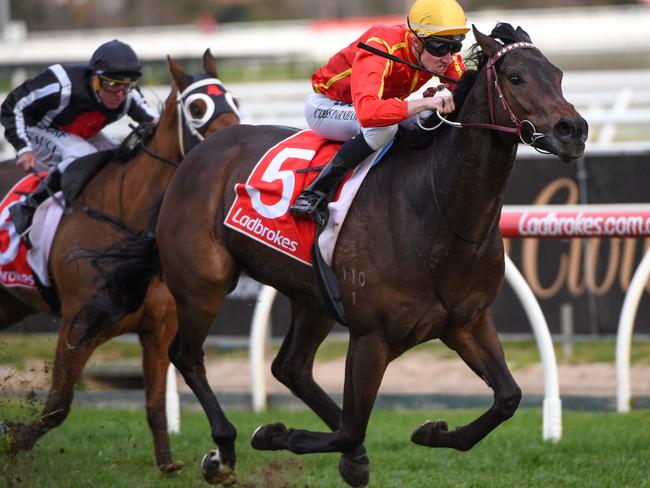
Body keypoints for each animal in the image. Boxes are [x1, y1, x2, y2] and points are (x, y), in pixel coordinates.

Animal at [0, 50, 239, 472]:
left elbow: (155, 404)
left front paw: (168, 464)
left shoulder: (158, 328)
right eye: (197, 108)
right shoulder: (79, 322)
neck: (126, 213)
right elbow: (58, 404)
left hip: (9, 303)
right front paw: (14, 439)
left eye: (234, 100)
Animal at [83, 26, 584, 488]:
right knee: (186, 355)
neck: (438, 207)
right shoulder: (371, 337)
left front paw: (431, 432)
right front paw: (272, 434)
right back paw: (223, 449)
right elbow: (349, 428)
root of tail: (195, 156)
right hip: (202, 283)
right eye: (515, 77)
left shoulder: (467, 322)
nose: (573, 130)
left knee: (290, 367)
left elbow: (508, 397)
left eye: (558, 75)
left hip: (312, 298)